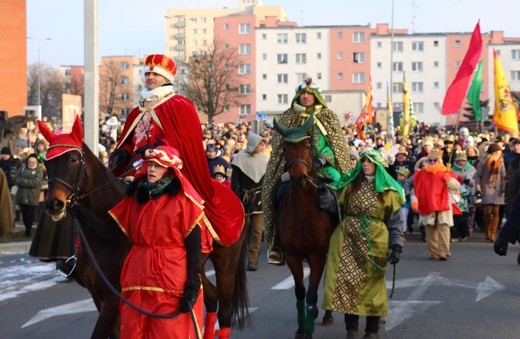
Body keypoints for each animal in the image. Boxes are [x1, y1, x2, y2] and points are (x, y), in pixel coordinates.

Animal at [39, 117, 247, 339]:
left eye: (73, 160)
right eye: (47, 162)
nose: (53, 204)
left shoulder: (114, 300)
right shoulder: (98, 297)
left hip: (226, 263)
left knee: (225, 310)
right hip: (196, 267)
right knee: (210, 297)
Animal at [274, 113, 336, 339]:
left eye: (308, 146)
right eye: (284, 148)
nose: (299, 177)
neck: (302, 213)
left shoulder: (317, 255)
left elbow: (311, 293)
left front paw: (309, 329)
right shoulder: (293, 256)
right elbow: (301, 292)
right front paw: (301, 329)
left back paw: (327, 315)